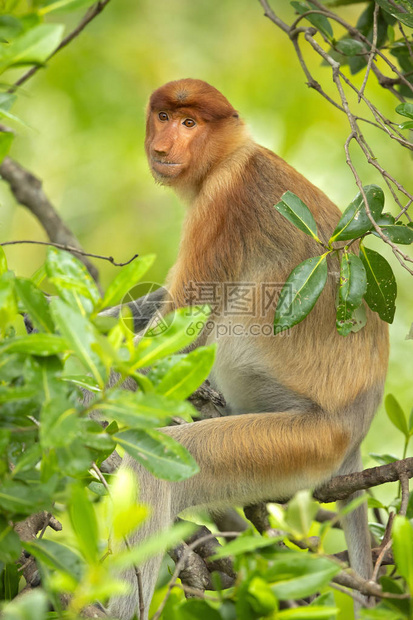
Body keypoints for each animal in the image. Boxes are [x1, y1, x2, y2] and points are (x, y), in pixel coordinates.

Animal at [108, 80, 388, 616]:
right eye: (164, 116)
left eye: (190, 123)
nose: (163, 147)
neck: (230, 156)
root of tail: (357, 428)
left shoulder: (221, 204)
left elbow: (181, 326)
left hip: (301, 443)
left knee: (160, 469)